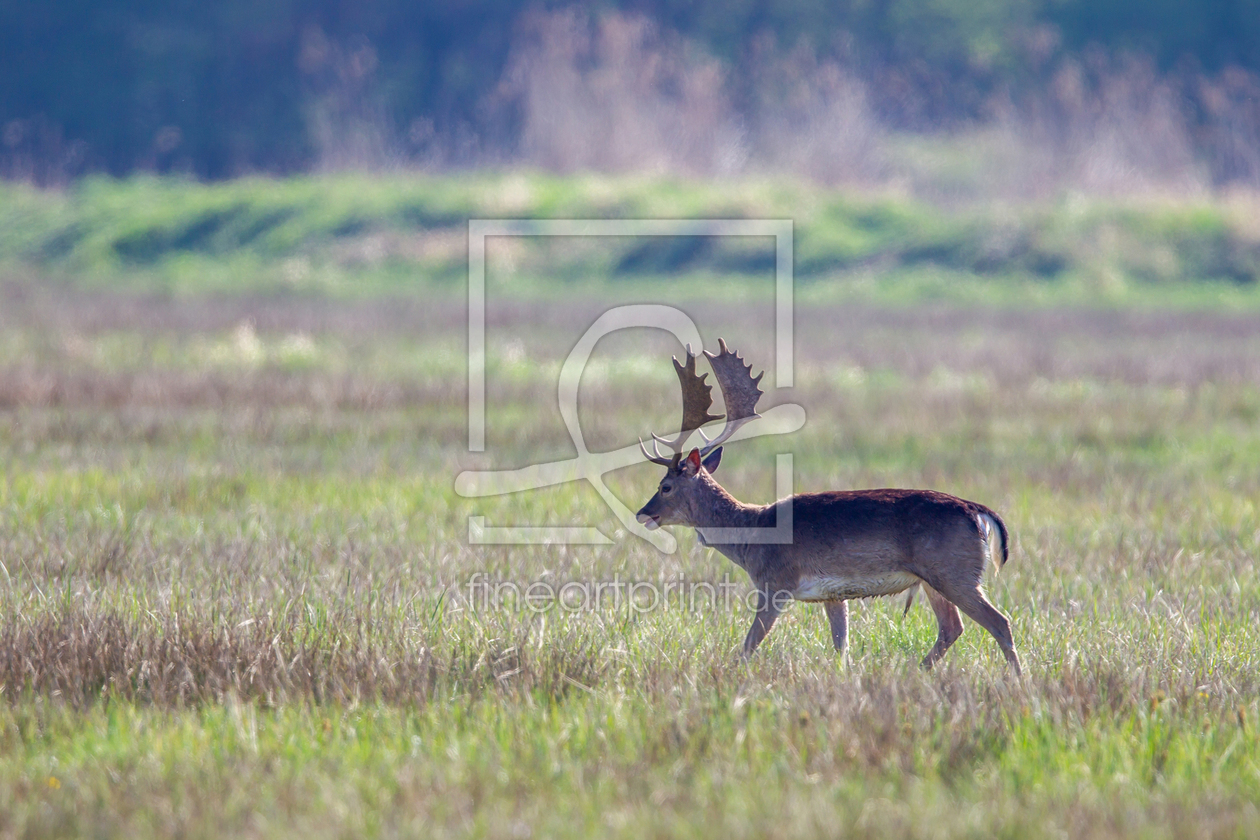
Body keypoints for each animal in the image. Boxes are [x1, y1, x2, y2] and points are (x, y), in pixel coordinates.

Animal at [635, 337, 1018, 675]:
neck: (753, 536)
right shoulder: (833, 595)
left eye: (665, 486)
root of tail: (977, 511)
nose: (642, 513)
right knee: (952, 627)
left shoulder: (775, 583)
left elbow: (749, 645)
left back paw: (1015, 680)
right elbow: (841, 646)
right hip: (934, 578)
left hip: (954, 571)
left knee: (999, 622)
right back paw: (917, 672)